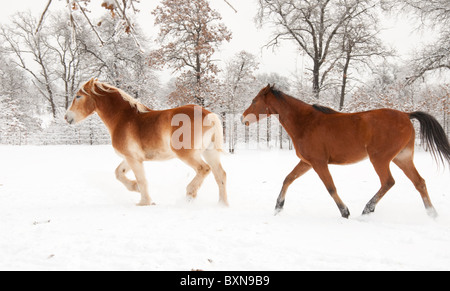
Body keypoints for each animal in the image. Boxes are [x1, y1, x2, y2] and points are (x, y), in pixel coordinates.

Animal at [63, 78, 229, 208]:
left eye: (78, 96)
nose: (66, 117)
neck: (123, 118)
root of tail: (209, 115)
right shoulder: (130, 158)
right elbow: (119, 173)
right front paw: (135, 188)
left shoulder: (133, 159)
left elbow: (141, 180)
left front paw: (144, 202)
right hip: (210, 152)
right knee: (220, 175)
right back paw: (222, 204)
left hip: (187, 154)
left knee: (204, 169)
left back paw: (190, 193)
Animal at [243, 84, 450, 219]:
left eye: (254, 100)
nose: (243, 118)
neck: (305, 122)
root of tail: (407, 115)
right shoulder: (307, 162)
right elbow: (288, 178)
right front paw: (278, 207)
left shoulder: (319, 163)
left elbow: (330, 187)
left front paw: (345, 212)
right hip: (402, 158)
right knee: (419, 182)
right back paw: (432, 213)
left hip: (380, 158)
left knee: (388, 182)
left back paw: (367, 209)